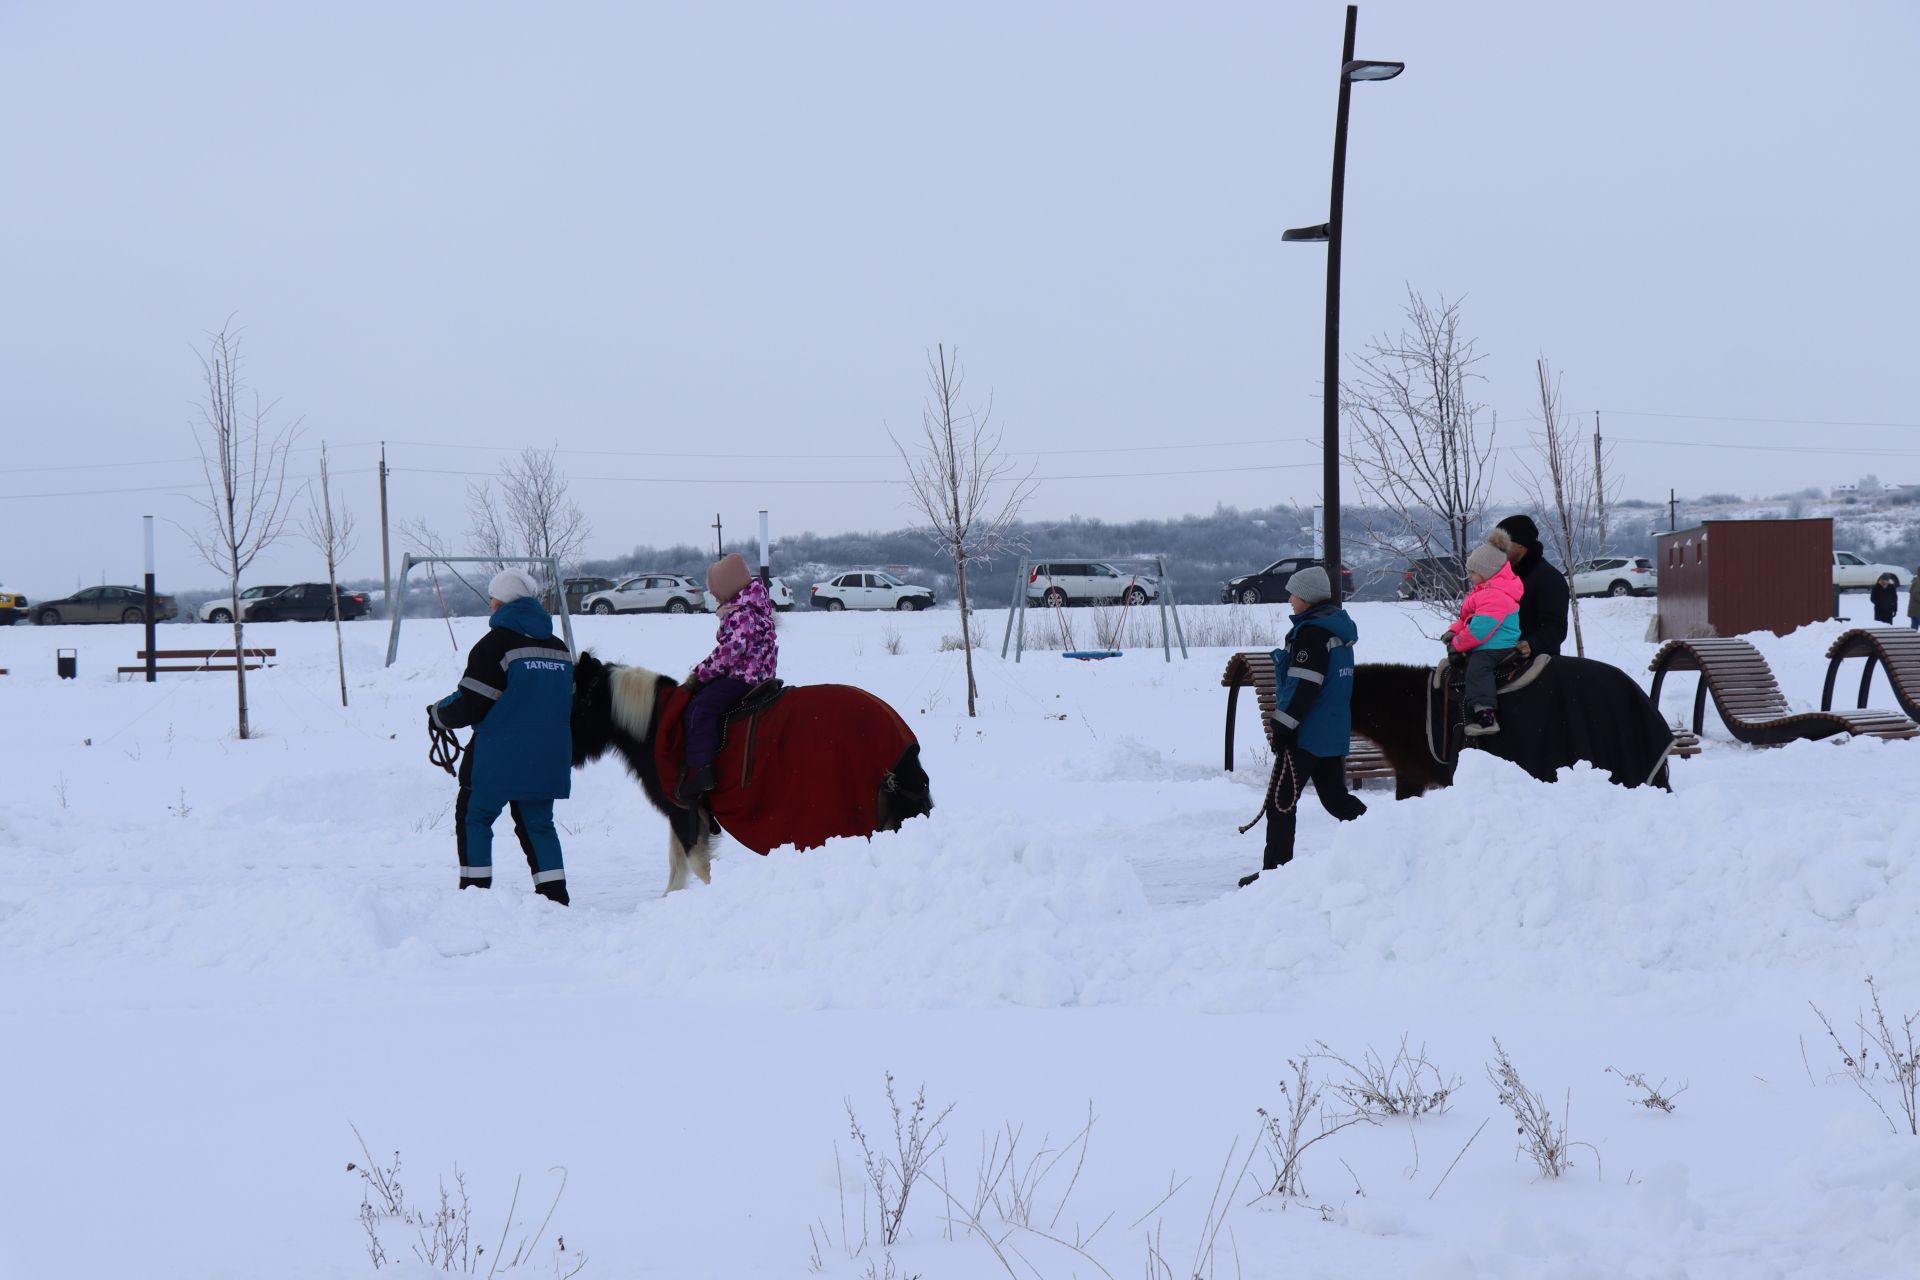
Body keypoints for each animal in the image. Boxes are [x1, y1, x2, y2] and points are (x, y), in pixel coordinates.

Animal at [564, 652, 933, 890]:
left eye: (577, 702)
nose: (566, 754)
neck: (656, 725)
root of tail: (901, 741)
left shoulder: (684, 810)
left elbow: (696, 865)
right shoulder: (682, 813)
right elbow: (677, 866)